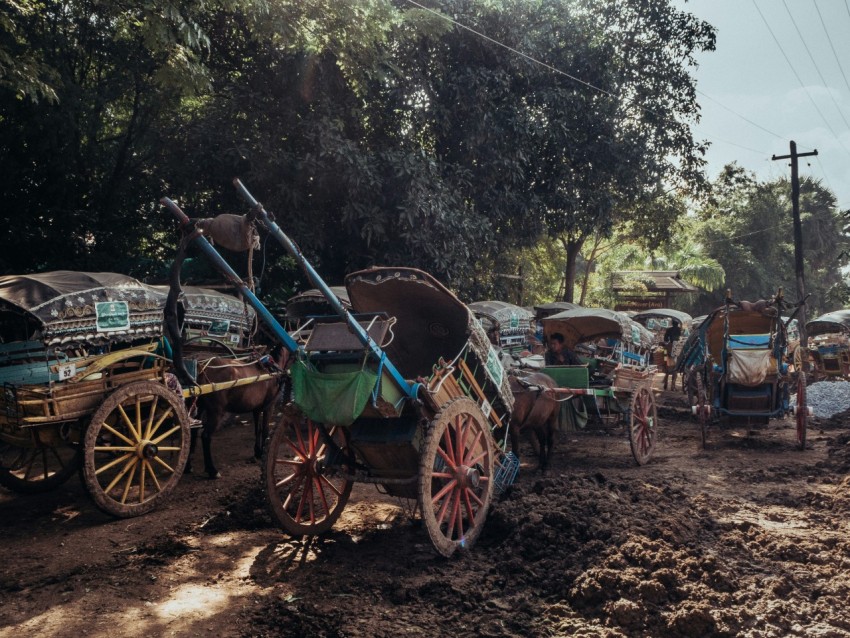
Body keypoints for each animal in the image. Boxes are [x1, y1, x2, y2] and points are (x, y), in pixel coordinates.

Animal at [189, 344, 288, 480]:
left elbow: (258, 430)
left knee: (192, 432)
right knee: (206, 436)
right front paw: (263, 451)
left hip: (199, 408)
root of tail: (203, 368)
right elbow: (265, 430)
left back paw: (188, 466)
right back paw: (212, 470)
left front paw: (257, 452)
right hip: (215, 412)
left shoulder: (256, 409)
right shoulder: (269, 407)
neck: (271, 370)